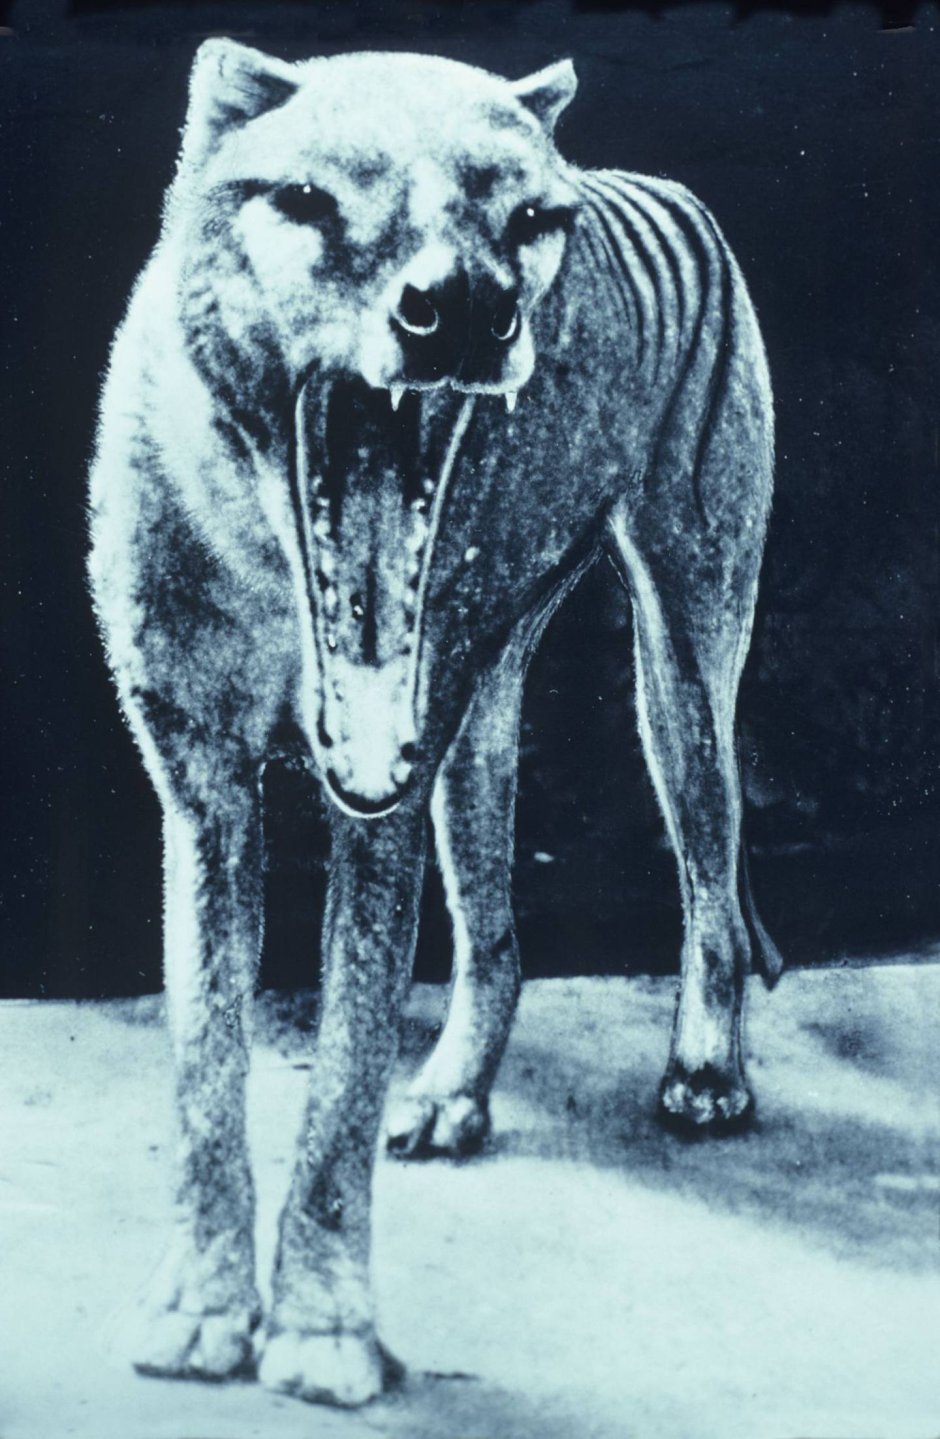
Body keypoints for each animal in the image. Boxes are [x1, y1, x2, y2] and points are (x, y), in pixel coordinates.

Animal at [88, 40, 781, 1405]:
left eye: (528, 222)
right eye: (308, 199)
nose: (465, 306)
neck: (271, 567)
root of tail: (658, 181)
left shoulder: (378, 812)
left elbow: (343, 1076)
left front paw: (320, 1329)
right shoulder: (203, 796)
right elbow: (204, 1063)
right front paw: (200, 1308)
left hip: (679, 675)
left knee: (710, 884)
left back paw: (703, 1069)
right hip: (478, 724)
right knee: (498, 934)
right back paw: (456, 1092)